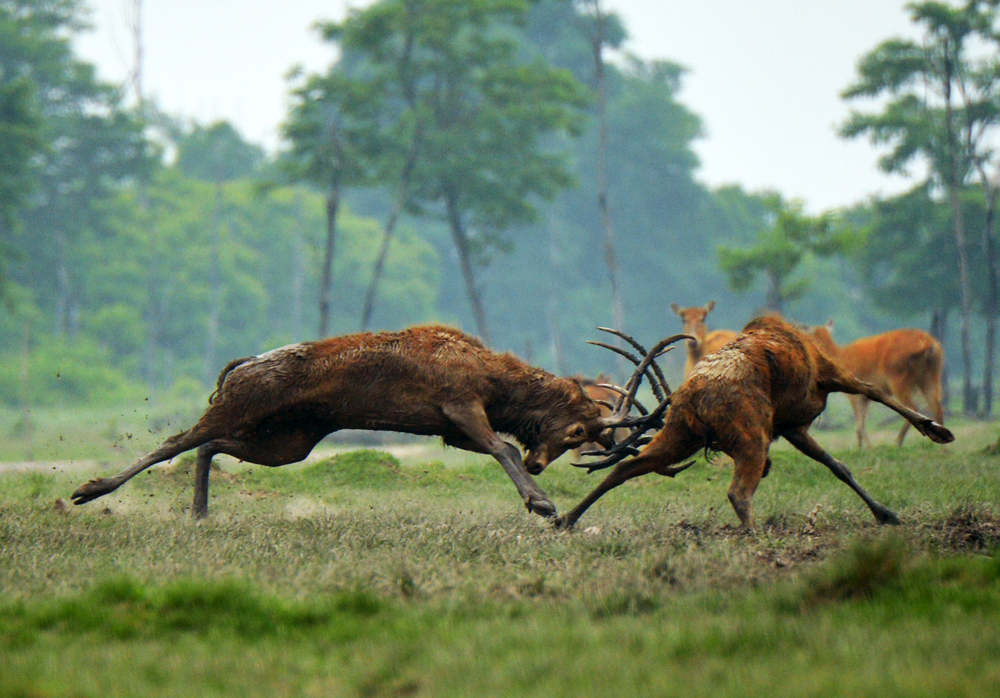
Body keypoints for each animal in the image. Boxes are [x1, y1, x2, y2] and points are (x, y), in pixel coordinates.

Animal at [72, 324, 664, 516]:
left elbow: (502, 448)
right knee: (176, 440)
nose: (543, 466)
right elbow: (503, 447)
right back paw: (88, 490)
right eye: (579, 429)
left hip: (292, 439)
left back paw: (199, 513)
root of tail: (239, 366)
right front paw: (540, 504)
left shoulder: (449, 430)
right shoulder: (458, 405)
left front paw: (538, 498)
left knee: (209, 446)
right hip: (241, 405)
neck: (499, 386)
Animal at [804, 320, 944, 446]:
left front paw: (863, 448)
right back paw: (943, 448)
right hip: (931, 377)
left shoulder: (852, 393)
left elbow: (859, 423)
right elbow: (862, 423)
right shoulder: (864, 397)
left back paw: (897, 443)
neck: (839, 355)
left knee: (914, 408)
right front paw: (867, 447)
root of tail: (928, 343)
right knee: (937, 407)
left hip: (898, 379)